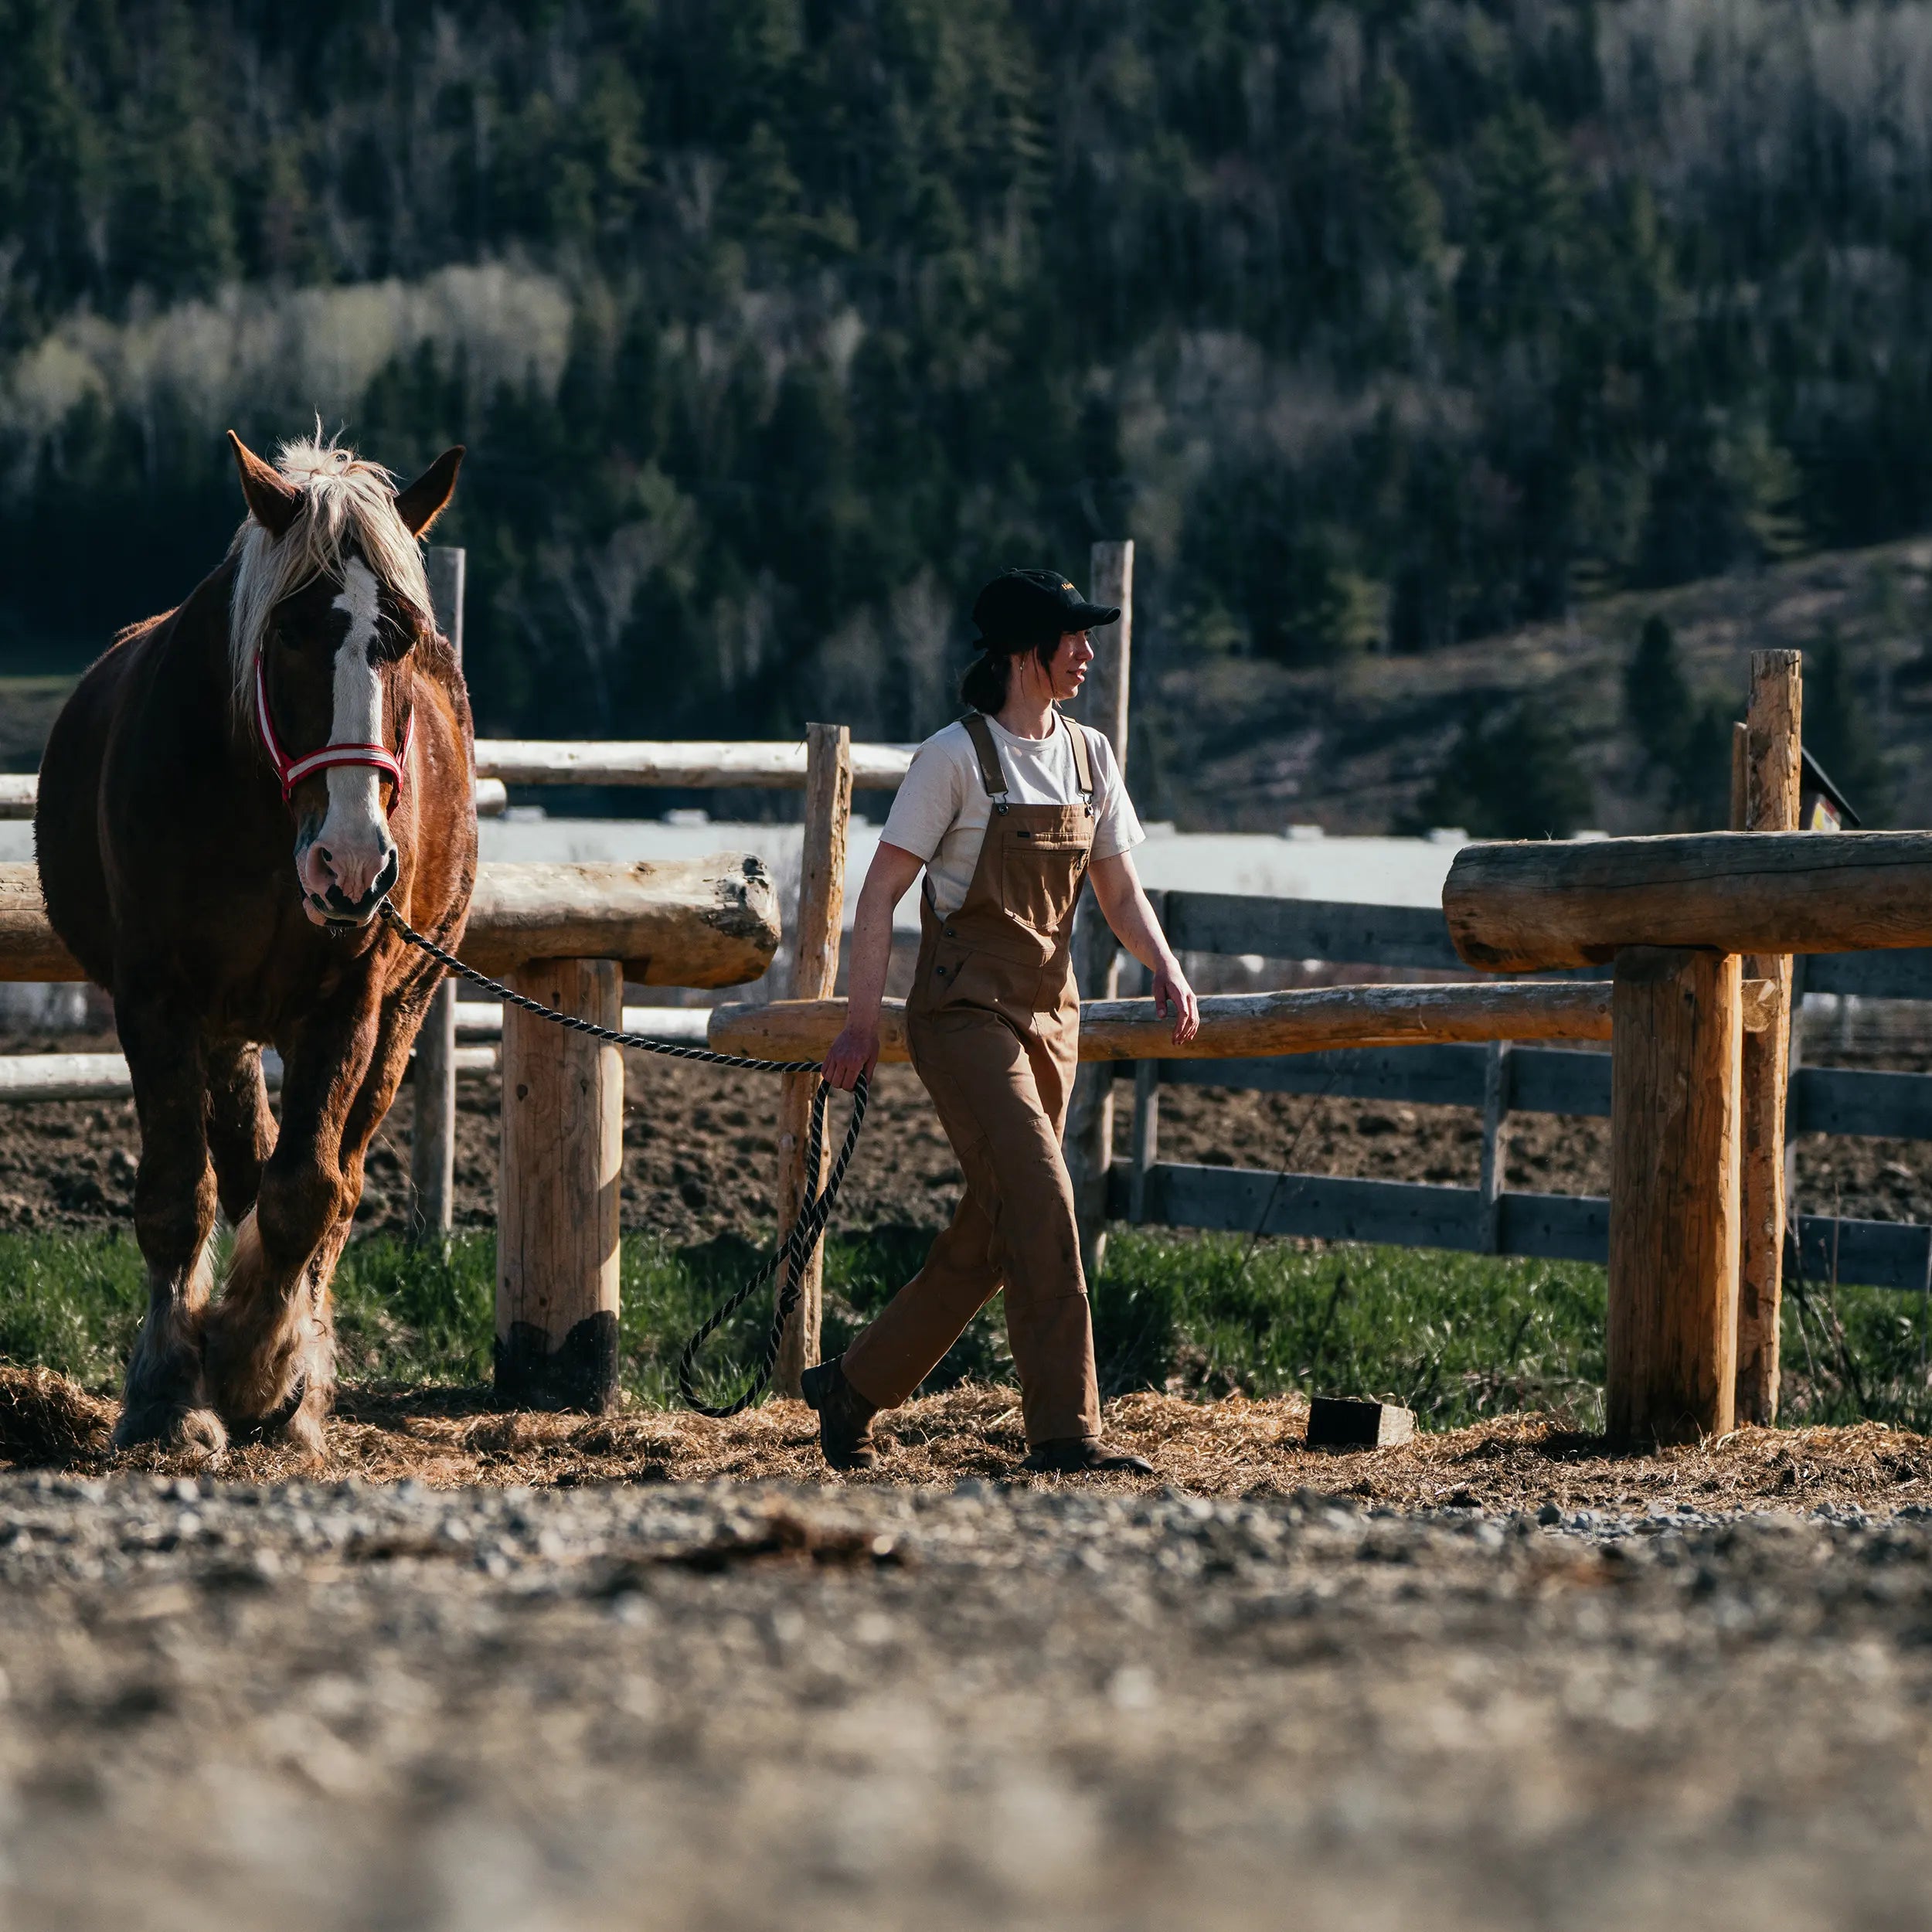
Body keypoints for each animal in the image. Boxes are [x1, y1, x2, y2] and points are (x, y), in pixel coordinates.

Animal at [36, 427, 477, 1453]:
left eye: (402, 637)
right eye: (290, 631)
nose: (352, 865)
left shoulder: (352, 1004)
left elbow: (306, 1188)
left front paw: (258, 1365)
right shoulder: (157, 998)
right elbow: (177, 1194)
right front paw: (169, 1387)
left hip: (400, 1016)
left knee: (335, 1183)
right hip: (227, 1026)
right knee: (239, 1159)